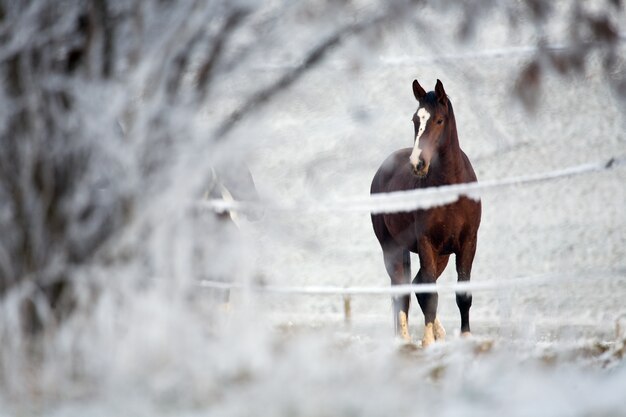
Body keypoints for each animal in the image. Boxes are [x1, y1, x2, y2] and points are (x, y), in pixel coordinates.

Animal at [368, 79, 480, 346]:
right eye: (414, 120)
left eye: (439, 120)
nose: (418, 163)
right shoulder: (426, 243)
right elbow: (430, 292)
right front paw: (427, 341)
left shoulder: (467, 242)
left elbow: (463, 292)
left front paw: (466, 336)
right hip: (392, 248)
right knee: (402, 287)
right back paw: (405, 338)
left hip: (442, 255)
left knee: (416, 283)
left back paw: (439, 332)